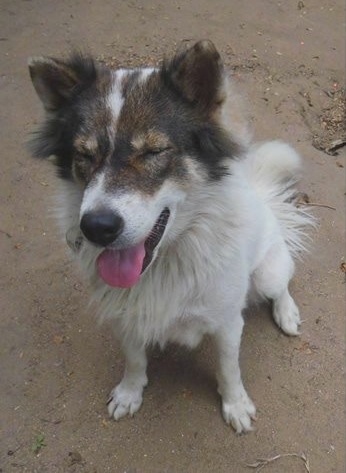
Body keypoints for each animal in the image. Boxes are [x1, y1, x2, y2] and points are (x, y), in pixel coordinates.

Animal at [27, 39, 314, 432]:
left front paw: (236, 405)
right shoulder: (125, 314)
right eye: (84, 155)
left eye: (153, 151)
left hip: (268, 272)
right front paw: (130, 393)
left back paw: (287, 312)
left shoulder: (227, 322)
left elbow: (229, 370)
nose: (97, 227)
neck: (165, 262)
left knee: (281, 285)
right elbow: (134, 359)